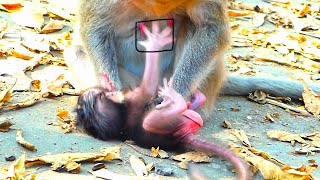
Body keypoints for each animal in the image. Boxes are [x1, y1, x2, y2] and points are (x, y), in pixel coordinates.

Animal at [75, 21, 250, 180]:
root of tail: (182, 136)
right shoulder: (134, 97)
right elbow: (148, 87)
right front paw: (154, 42)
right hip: (162, 122)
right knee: (152, 120)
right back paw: (183, 99)